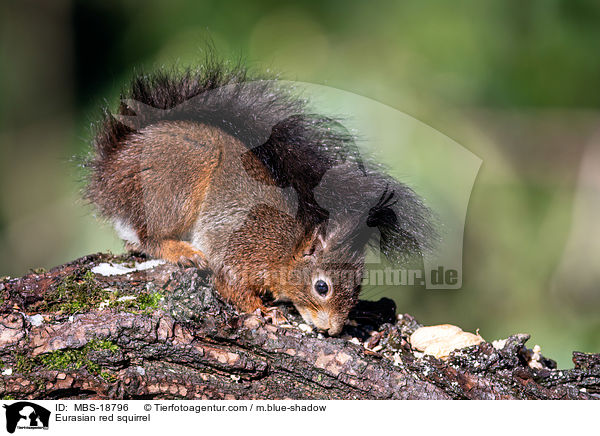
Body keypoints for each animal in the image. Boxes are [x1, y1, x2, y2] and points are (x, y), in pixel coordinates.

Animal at [84, 57, 434, 338]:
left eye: (358, 286)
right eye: (322, 287)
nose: (333, 330)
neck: (284, 249)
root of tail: (113, 166)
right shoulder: (242, 251)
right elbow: (229, 284)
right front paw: (263, 310)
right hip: (174, 185)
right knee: (150, 237)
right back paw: (183, 252)